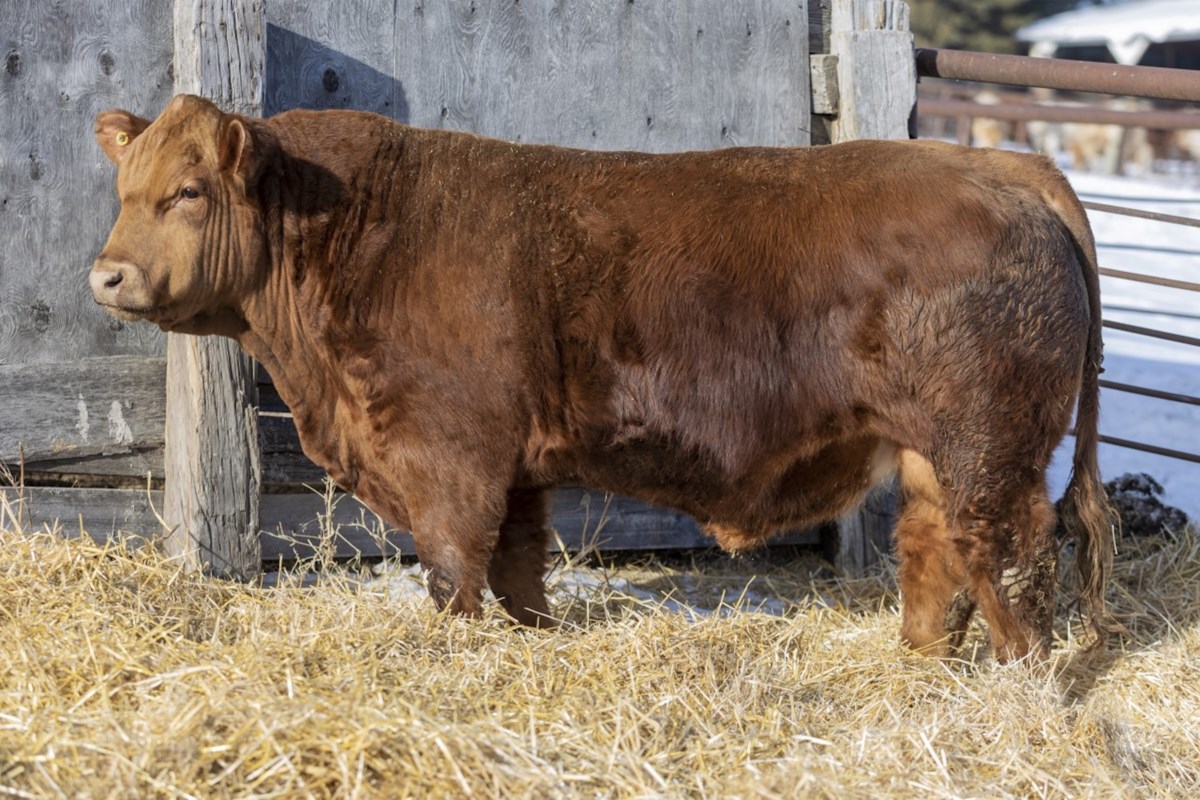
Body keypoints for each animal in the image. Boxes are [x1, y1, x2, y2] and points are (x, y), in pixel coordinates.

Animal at [90, 95, 1114, 662]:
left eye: (186, 191)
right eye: (124, 191)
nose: (107, 275)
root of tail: (998, 164)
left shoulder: (448, 455)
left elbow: (455, 570)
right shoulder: (514, 468)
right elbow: (517, 568)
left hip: (989, 449)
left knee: (1014, 558)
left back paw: (1022, 683)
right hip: (934, 453)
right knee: (941, 554)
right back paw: (920, 667)